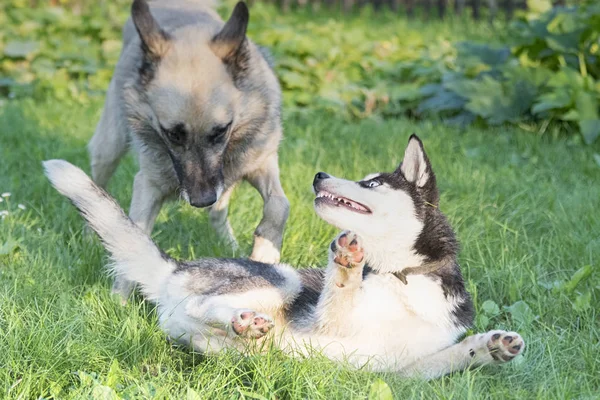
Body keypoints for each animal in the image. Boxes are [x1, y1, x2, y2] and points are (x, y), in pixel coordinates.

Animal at [45, 137, 524, 378]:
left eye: (370, 184)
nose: (319, 175)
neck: (404, 275)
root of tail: (174, 267)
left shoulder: (399, 372)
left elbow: (453, 356)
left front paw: (491, 346)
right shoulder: (330, 320)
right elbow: (341, 292)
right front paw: (347, 260)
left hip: (221, 343)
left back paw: (244, 329)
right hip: (282, 279)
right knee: (204, 303)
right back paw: (244, 319)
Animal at [88, 0, 290, 298]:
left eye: (220, 131)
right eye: (173, 134)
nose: (201, 200)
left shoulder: (261, 162)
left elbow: (279, 205)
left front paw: (265, 252)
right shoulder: (148, 185)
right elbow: (133, 236)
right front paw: (119, 300)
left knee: (219, 213)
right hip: (108, 148)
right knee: (97, 181)